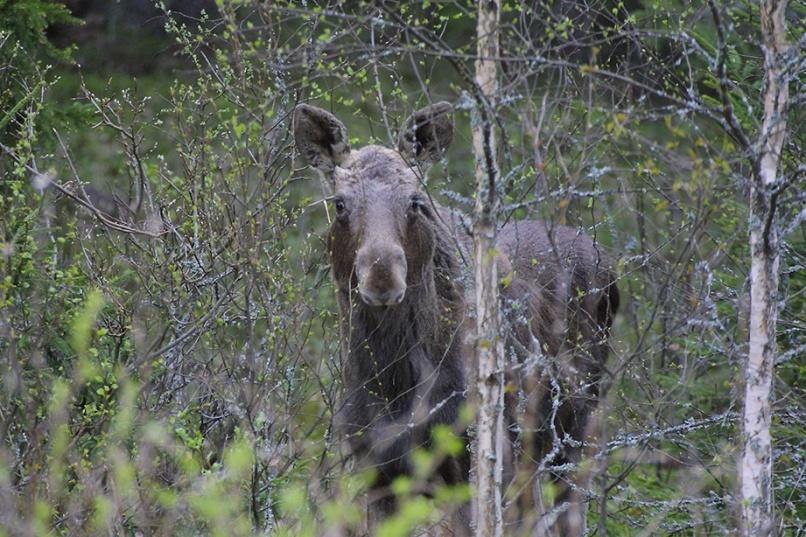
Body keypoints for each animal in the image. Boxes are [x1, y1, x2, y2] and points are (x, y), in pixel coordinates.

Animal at [296, 102, 620, 532]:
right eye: (339, 203)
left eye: (416, 200)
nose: (382, 275)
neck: (393, 382)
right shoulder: (375, 469)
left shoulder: (479, 458)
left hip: (575, 427)